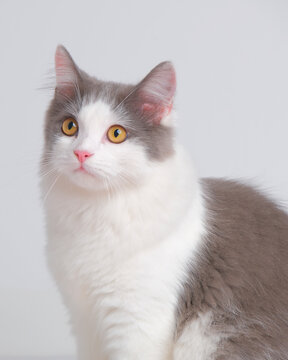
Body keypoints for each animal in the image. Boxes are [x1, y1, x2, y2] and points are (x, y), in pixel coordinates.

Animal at [40, 45, 288, 360]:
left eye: (116, 134)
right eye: (70, 127)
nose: (81, 153)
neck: (95, 211)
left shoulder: (138, 322)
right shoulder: (84, 321)